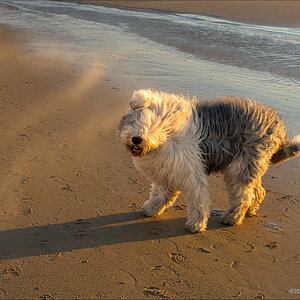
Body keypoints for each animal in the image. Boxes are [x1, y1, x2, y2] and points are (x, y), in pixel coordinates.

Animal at [117, 90, 300, 233]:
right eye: (136, 120)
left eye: (154, 125)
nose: (136, 139)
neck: (166, 138)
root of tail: (278, 126)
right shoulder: (168, 170)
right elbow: (161, 193)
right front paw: (151, 208)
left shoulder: (191, 173)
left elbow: (198, 201)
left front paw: (196, 224)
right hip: (251, 165)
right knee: (258, 190)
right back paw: (251, 210)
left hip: (239, 167)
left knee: (244, 195)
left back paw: (232, 217)